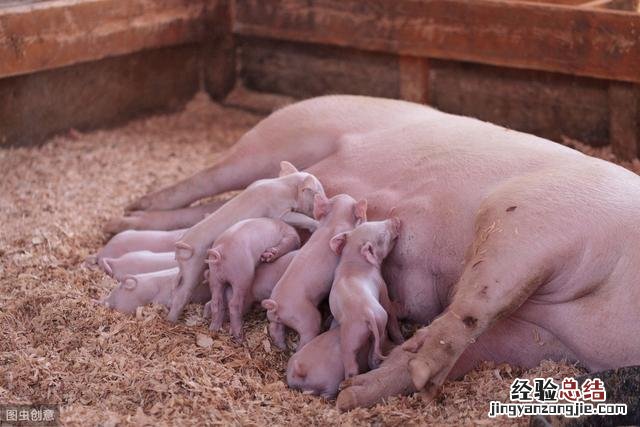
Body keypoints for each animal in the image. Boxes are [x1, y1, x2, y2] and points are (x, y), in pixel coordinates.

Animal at [107, 94, 640, 412]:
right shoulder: (533, 216)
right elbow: (477, 301)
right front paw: (414, 373)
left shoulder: (538, 340)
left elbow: (469, 340)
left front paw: (362, 392)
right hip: (278, 138)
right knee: (205, 180)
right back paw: (128, 211)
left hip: (270, 182)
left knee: (211, 211)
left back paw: (125, 224)